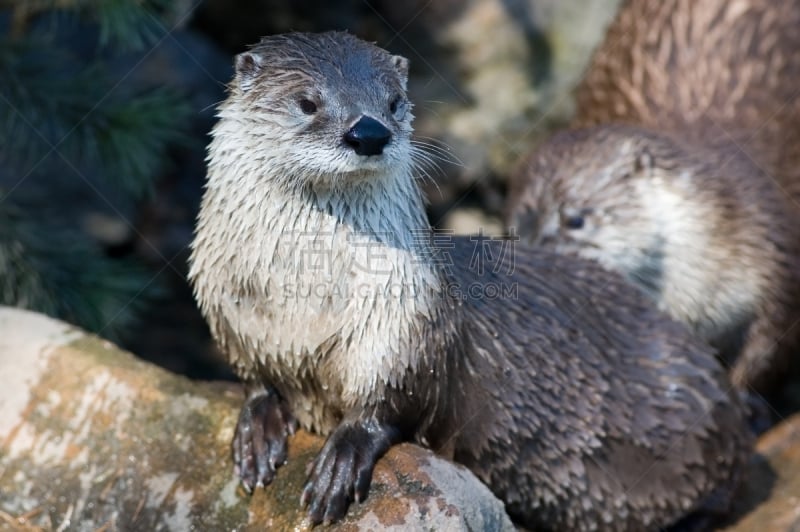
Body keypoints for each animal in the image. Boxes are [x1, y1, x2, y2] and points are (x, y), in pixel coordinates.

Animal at [188, 32, 752, 528]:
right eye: (307, 102)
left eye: (394, 103)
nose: (369, 133)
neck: (302, 305)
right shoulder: (230, 312)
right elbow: (256, 379)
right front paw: (257, 428)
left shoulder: (404, 320)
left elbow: (388, 402)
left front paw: (343, 456)